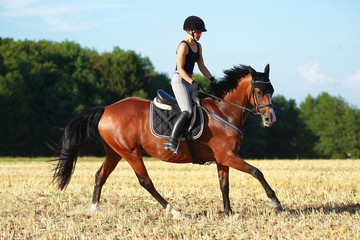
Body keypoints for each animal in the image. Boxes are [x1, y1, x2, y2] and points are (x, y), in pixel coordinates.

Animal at [52, 63, 282, 218]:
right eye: (259, 91)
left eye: (272, 91)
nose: (270, 119)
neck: (224, 111)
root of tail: (107, 108)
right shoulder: (227, 156)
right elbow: (257, 172)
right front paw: (275, 202)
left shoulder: (223, 158)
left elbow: (224, 185)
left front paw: (228, 211)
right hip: (131, 152)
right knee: (145, 181)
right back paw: (174, 211)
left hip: (115, 152)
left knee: (100, 175)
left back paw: (95, 209)